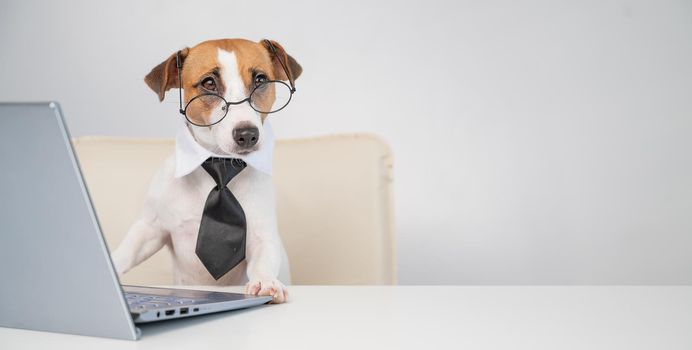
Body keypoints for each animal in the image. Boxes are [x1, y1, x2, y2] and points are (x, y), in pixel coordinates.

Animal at [111, 38, 300, 304]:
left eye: (261, 80)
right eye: (209, 83)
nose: (247, 135)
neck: (221, 164)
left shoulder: (263, 235)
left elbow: (264, 258)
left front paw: (266, 282)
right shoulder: (151, 227)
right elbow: (128, 250)